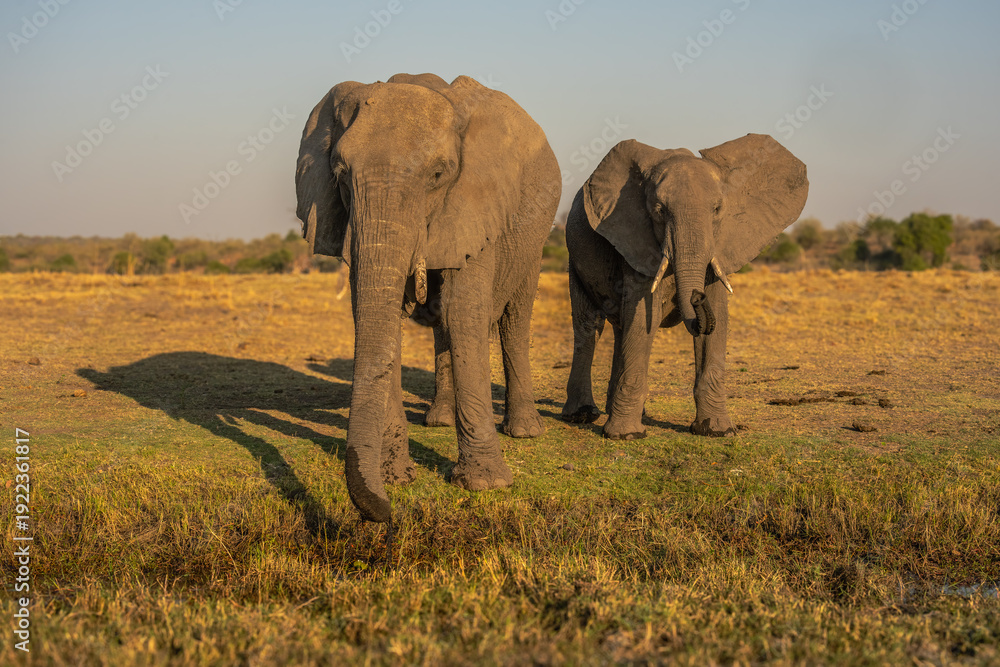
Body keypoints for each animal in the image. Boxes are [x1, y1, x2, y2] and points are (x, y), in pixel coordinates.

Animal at [295, 73, 560, 523]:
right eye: (341, 175)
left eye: (438, 174)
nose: (387, 514)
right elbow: (380, 315)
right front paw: (397, 477)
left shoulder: (475, 204)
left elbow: (464, 313)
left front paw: (486, 485)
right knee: (442, 326)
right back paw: (438, 421)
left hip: (535, 237)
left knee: (513, 317)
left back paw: (524, 430)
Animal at [560, 134, 808, 439]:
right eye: (659, 211)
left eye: (717, 209)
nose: (696, 296)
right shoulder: (635, 238)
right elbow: (643, 318)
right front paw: (626, 436)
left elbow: (717, 320)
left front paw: (718, 431)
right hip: (574, 257)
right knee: (590, 325)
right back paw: (582, 416)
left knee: (620, 328)